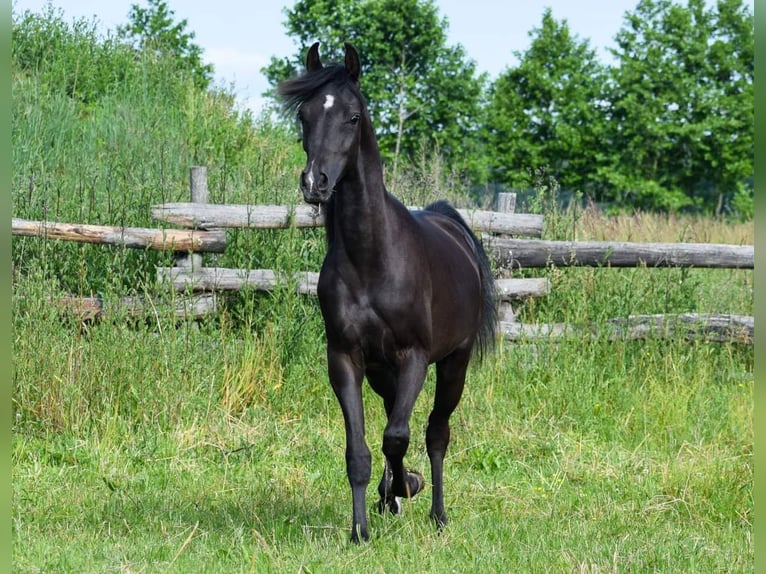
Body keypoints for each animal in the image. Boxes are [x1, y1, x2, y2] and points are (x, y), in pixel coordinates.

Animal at [278, 42, 497, 543]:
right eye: (304, 115)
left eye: (353, 117)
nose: (315, 183)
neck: (372, 260)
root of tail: (453, 227)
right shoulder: (345, 359)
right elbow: (360, 449)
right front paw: (362, 525)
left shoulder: (414, 356)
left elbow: (398, 436)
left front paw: (405, 487)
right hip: (382, 373)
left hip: (453, 365)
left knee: (436, 433)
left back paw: (436, 513)